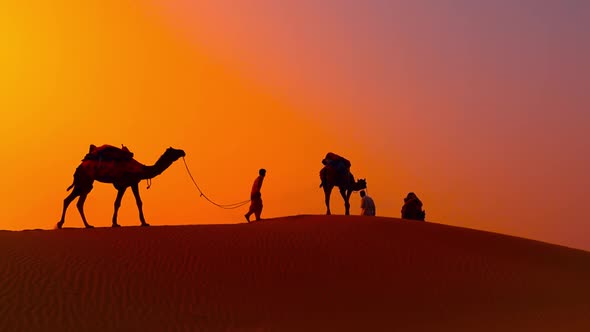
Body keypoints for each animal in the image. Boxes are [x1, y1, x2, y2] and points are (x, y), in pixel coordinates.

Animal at [57, 145, 185, 228]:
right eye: (174, 151)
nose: (183, 151)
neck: (142, 169)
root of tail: (79, 167)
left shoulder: (130, 184)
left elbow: (132, 202)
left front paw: (117, 223)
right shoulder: (128, 183)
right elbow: (123, 203)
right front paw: (142, 223)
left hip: (83, 183)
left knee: (71, 201)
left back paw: (70, 224)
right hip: (85, 182)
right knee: (76, 202)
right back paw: (81, 225)